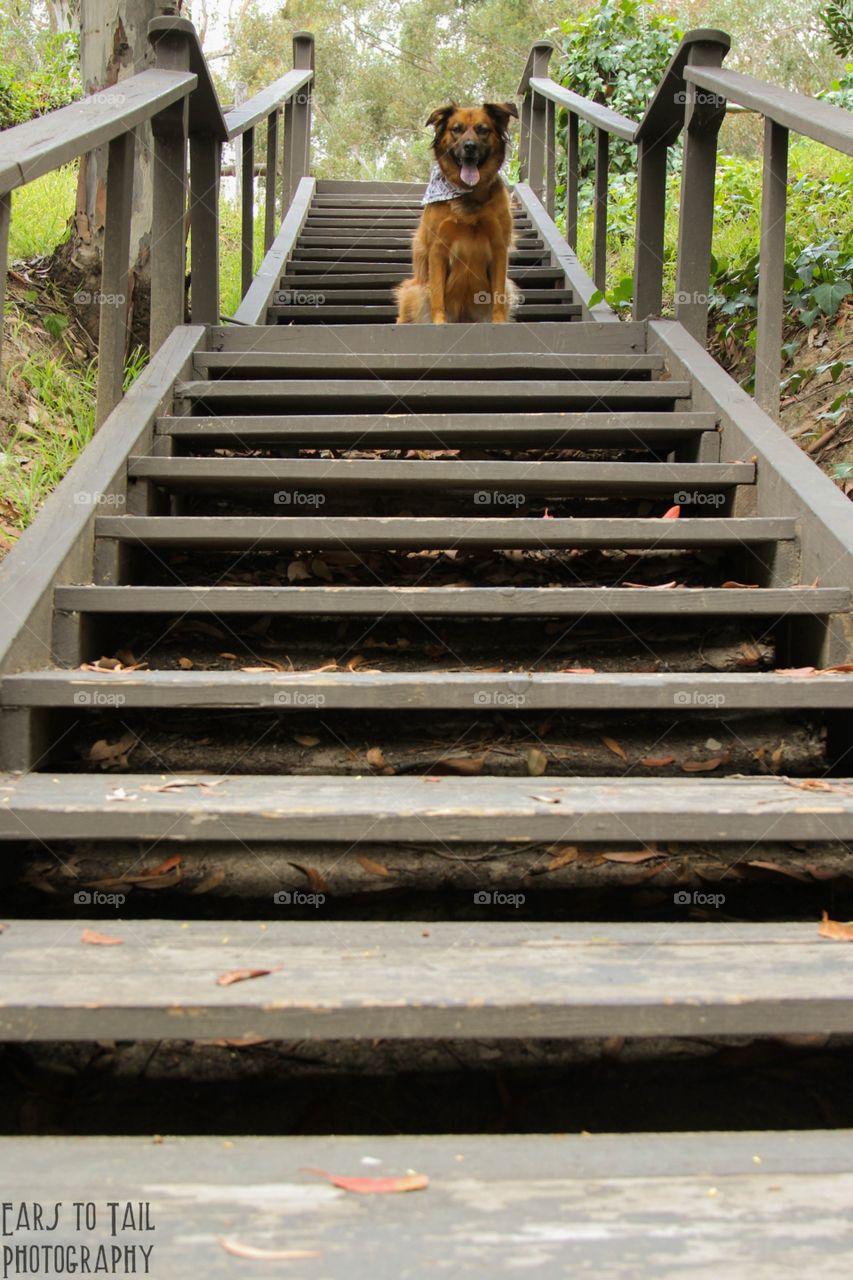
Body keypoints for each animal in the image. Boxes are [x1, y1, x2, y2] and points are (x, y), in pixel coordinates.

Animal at [394, 104, 517, 325]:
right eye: (456, 129)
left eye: (483, 129)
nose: (470, 146)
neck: (468, 194)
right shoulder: (437, 248)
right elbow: (437, 295)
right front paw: (439, 322)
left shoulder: (499, 247)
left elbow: (498, 295)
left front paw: (499, 322)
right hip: (413, 290)